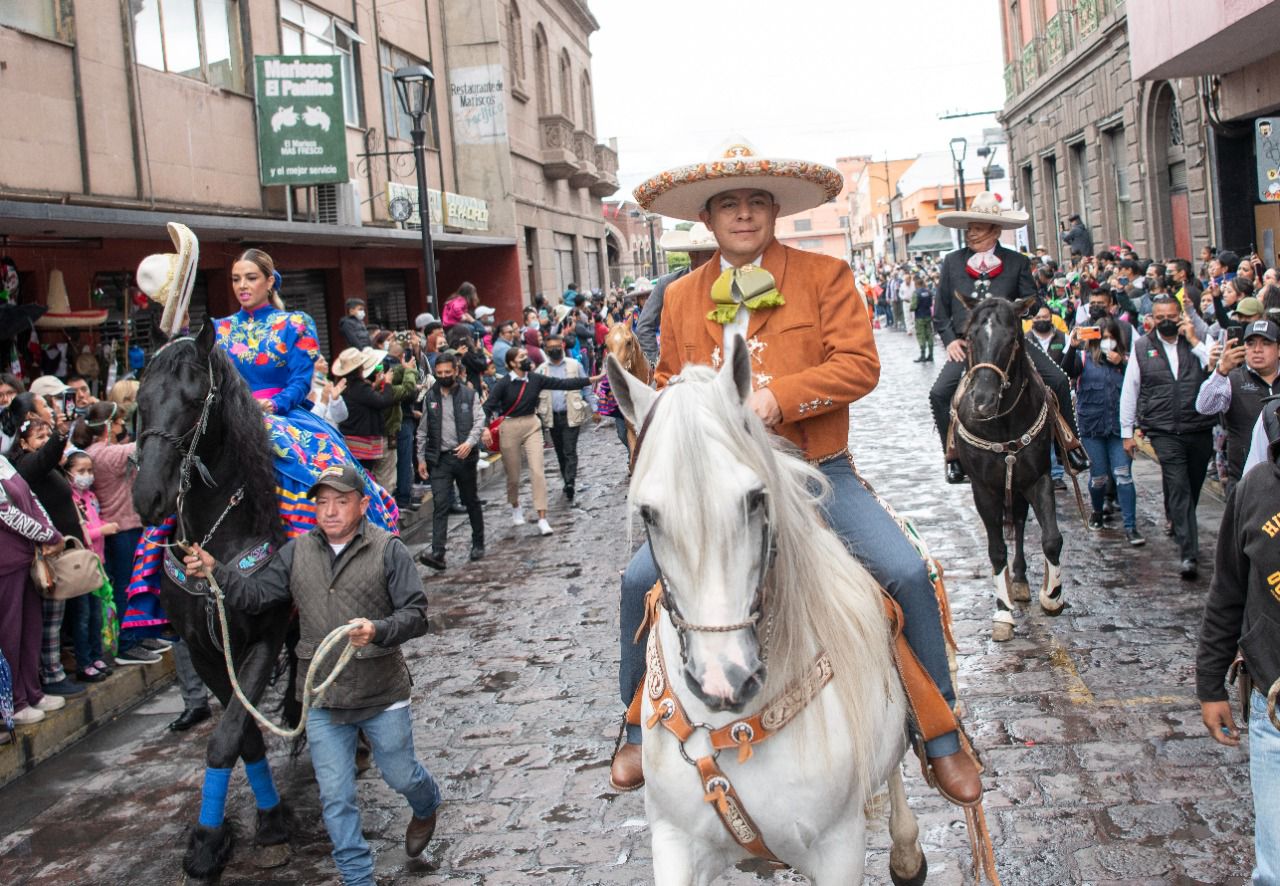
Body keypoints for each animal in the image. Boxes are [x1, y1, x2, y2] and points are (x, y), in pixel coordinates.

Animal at [133, 320, 295, 880]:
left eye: (192, 400)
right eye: (139, 400)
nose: (147, 497)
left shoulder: (266, 637)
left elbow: (224, 739)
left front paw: (213, 840)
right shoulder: (204, 651)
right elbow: (241, 735)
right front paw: (241, 827)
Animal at [957, 294, 1064, 640]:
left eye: (1012, 340)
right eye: (969, 337)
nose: (982, 401)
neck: (1002, 424)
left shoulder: (1038, 477)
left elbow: (1051, 539)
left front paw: (1052, 596)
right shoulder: (983, 489)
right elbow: (996, 550)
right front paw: (1003, 613)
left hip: (1017, 486)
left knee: (1017, 523)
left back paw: (1019, 580)